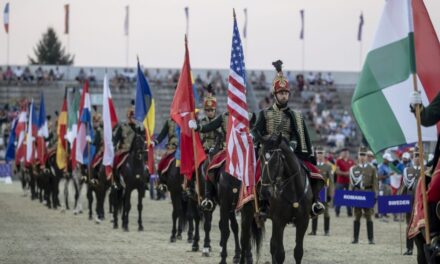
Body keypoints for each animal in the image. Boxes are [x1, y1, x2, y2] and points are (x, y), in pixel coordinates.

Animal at [258, 134, 316, 264]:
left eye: (276, 161)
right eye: (260, 159)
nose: (265, 192)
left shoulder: (303, 221)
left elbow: (298, 252)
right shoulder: (279, 221)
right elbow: (280, 254)